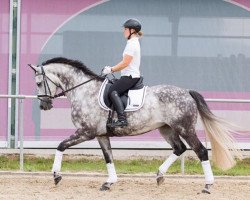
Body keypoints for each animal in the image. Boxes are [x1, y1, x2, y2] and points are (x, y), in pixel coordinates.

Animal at [28, 57, 241, 194]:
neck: (83, 91)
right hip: (166, 129)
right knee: (179, 148)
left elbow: (61, 146)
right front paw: (109, 183)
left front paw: (56, 175)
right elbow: (109, 158)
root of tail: (187, 92)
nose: (44, 105)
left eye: (38, 83)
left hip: (184, 128)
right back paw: (159, 175)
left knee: (201, 151)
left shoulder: (86, 132)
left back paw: (207, 186)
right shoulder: (101, 134)